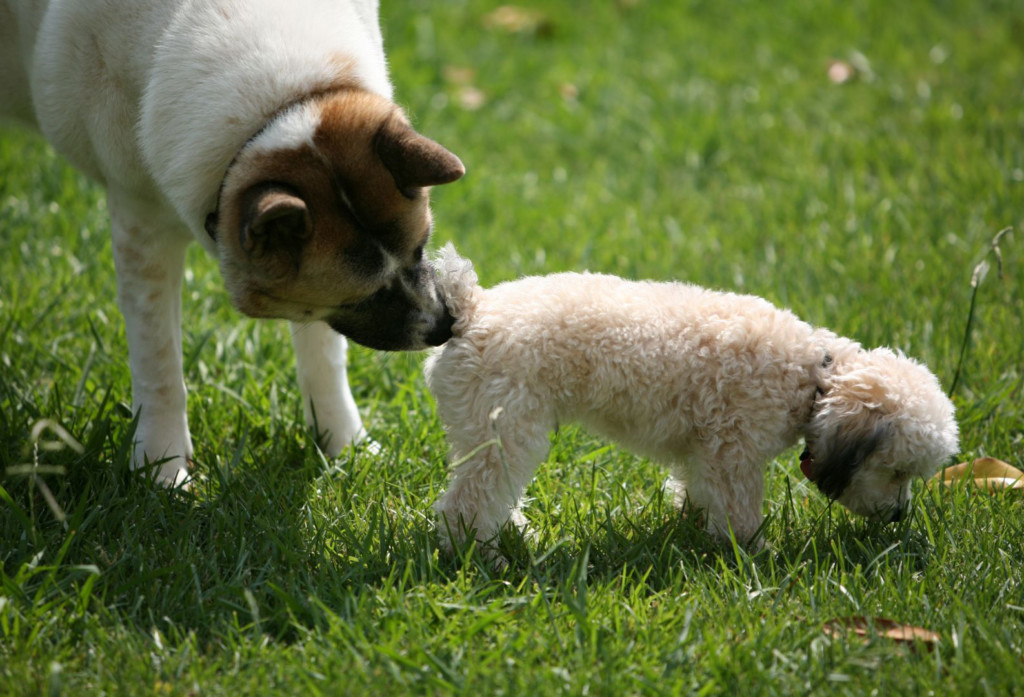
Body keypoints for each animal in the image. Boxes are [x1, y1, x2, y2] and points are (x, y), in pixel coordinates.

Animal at [0, 0, 464, 483]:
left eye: (420, 248)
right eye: (364, 297)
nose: (445, 327)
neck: (278, 106)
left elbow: (322, 353)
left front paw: (346, 447)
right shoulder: (139, 218)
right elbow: (158, 360)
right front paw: (163, 472)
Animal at [423, 244, 958, 552]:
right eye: (897, 471)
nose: (899, 516)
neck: (814, 376)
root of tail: (472, 308)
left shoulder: (705, 450)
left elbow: (696, 493)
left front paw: (693, 528)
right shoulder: (734, 452)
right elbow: (739, 513)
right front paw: (754, 555)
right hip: (506, 428)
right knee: (469, 503)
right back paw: (480, 555)